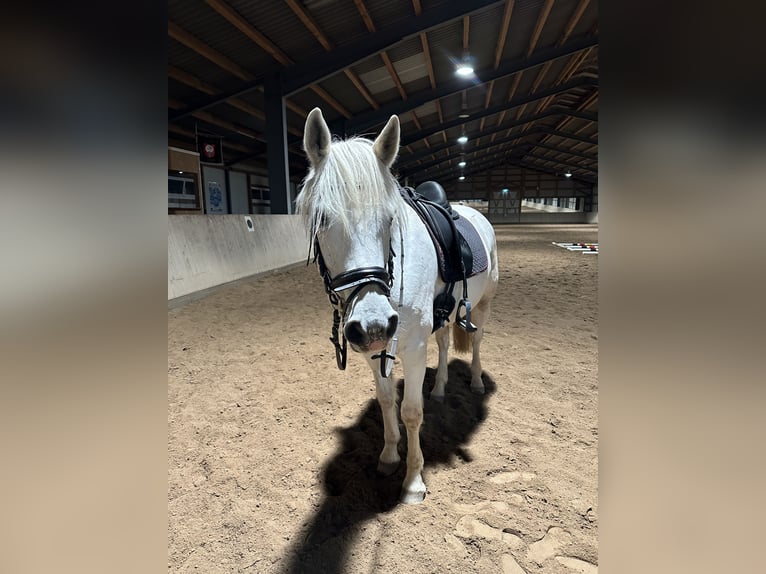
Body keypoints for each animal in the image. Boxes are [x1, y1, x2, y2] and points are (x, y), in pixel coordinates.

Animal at [297, 107, 499, 504]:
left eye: (390, 219)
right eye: (322, 218)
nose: (373, 324)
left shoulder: (413, 347)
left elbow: (411, 412)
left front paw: (413, 481)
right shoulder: (376, 348)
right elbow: (387, 400)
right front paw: (389, 456)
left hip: (481, 306)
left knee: (477, 341)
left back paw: (475, 383)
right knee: (444, 344)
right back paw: (440, 389)